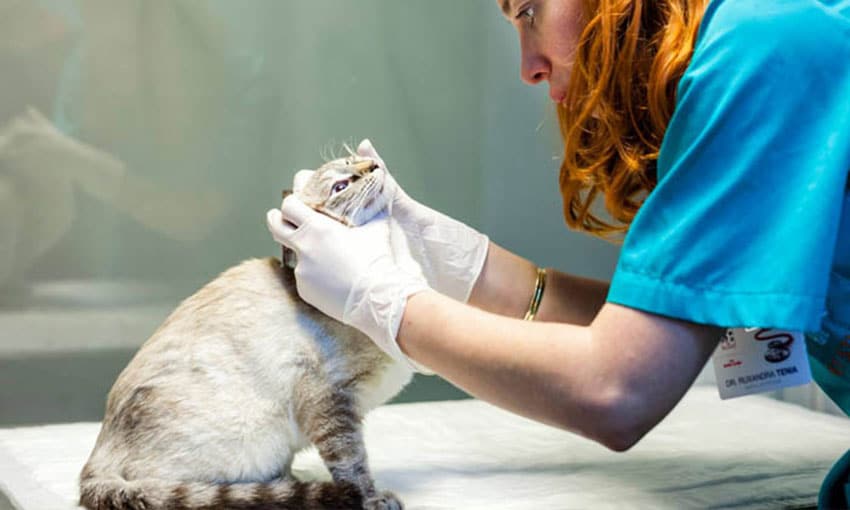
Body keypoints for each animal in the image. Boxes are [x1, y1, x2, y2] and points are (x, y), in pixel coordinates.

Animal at [79, 152, 412, 510]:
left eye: (354, 159)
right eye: (341, 185)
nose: (373, 165)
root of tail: (97, 454)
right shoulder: (330, 402)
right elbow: (352, 464)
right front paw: (373, 499)